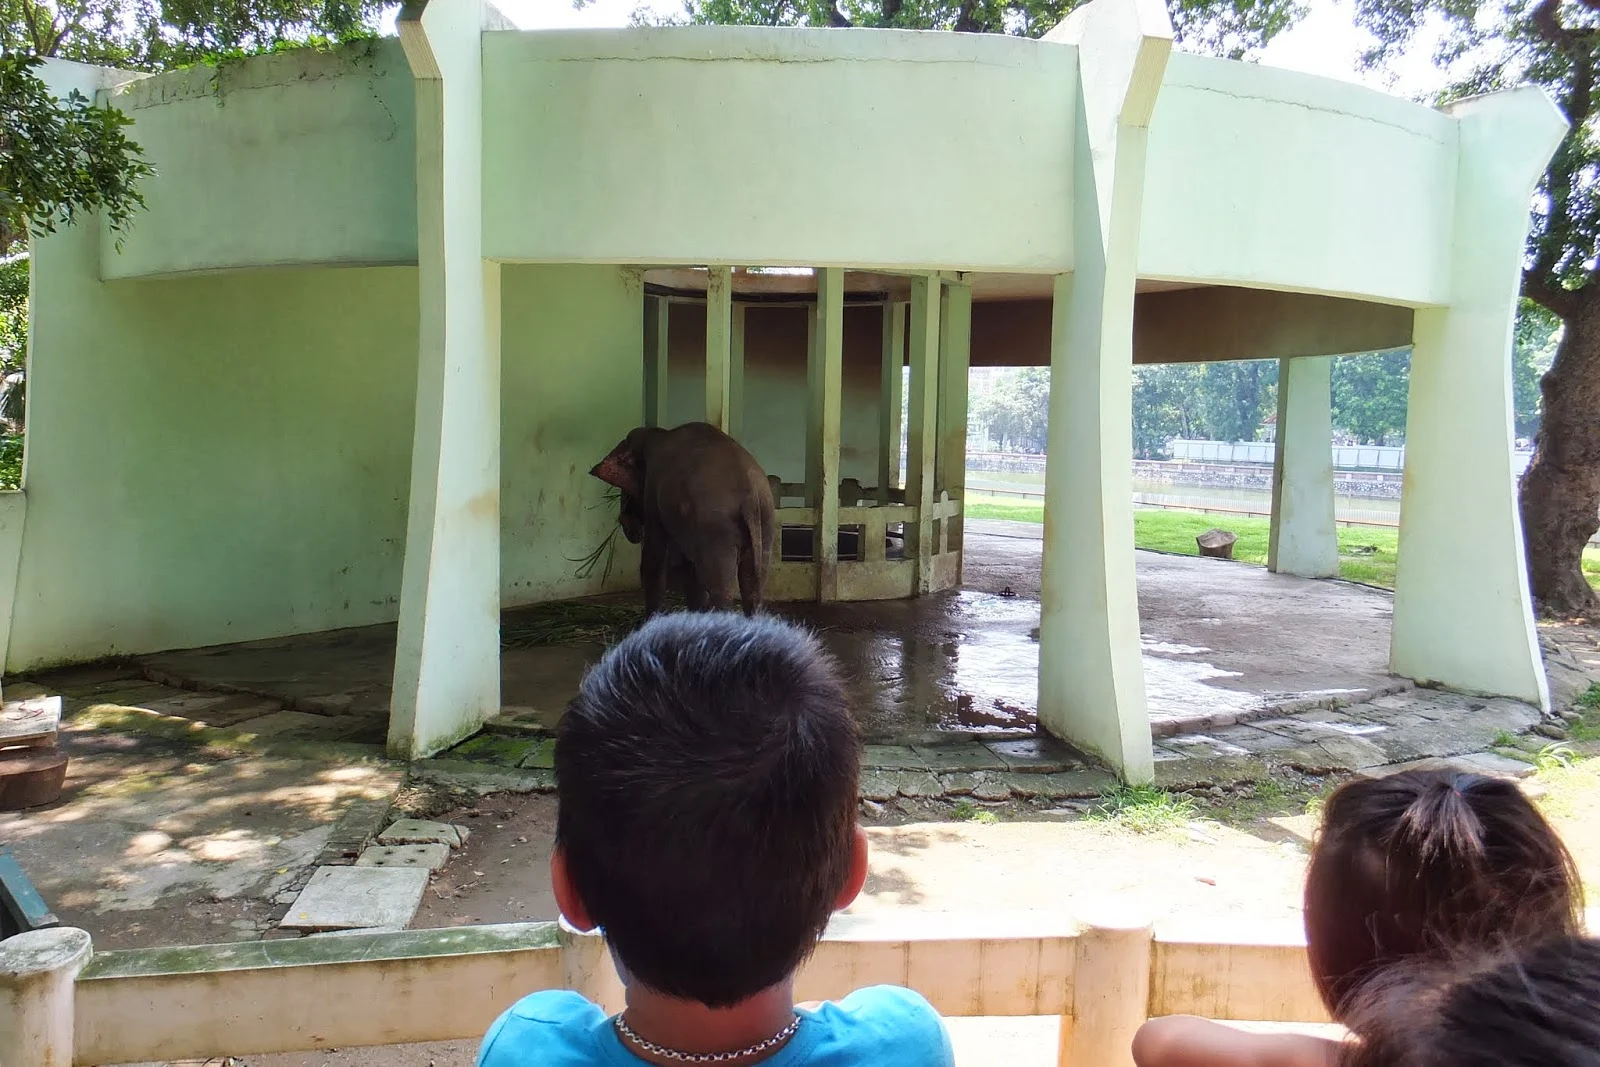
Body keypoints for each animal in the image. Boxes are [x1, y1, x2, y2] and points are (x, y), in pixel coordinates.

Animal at [595, 419, 780, 617]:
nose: (624, 522)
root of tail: (750, 495)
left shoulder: (654, 487)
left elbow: (655, 554)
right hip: (766, 521)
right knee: (753, 586)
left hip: (717, 528)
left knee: (720, 587)